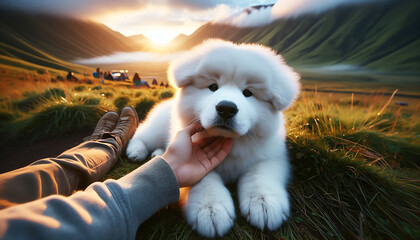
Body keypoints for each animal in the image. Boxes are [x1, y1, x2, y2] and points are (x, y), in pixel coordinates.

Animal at [126, 39, 300, 238]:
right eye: (213, 87)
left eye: (248, 93)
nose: (226, 108)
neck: (232, 143)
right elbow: (204, 180)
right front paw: (211, 210)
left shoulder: (271, 156)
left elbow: (259, 174)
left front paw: (264, 203)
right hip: (157, 125)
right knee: (142, 133)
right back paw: (136, 151)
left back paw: (158, 154)